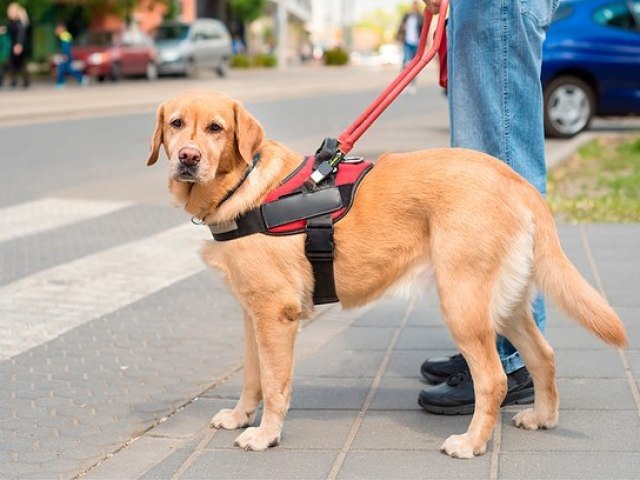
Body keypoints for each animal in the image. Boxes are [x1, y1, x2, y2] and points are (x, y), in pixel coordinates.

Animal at [145, 90, 624, 458]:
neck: (243, 185)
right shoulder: (252, 315)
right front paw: (240, 416)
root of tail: (514, 179)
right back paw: (543, 417)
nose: (187, 158)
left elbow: (275, 384)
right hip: (504, 305)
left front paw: (265, 434)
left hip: (462, 303)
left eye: (216, 128)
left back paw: (471, 442)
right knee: (543, 356)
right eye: (176, 123)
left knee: (493, 380)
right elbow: (252, 377)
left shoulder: (275, 315)